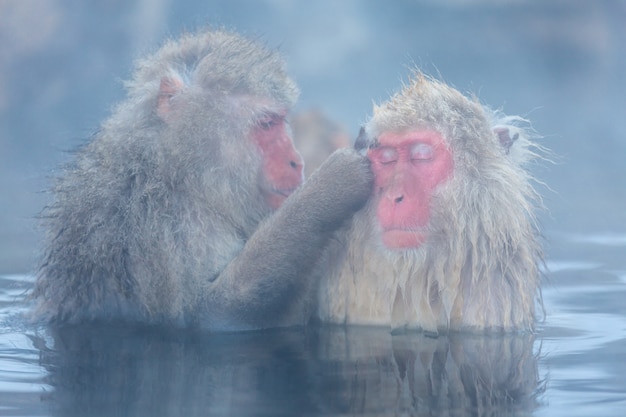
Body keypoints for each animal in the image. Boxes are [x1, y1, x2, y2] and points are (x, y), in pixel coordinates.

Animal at [33, 29, 370, 330]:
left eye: (280, 121)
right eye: (266, 123)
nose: (296, 161)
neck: (178, 172)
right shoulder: (161, 226)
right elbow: (210, 315)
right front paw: (331, 186)